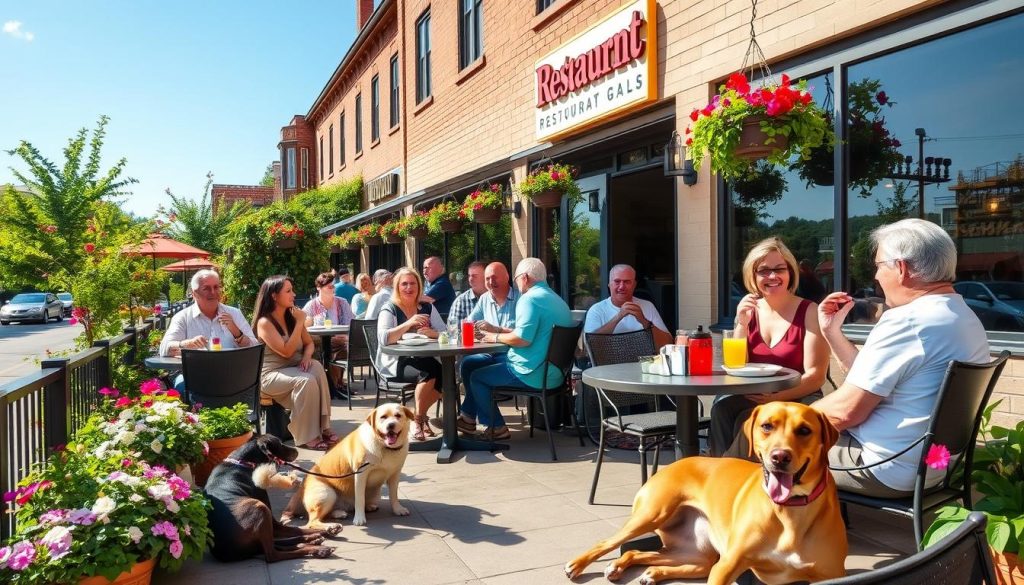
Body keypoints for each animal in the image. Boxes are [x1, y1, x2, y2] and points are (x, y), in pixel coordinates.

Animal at [201, 434, 337, 561]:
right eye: (280, 444)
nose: (296, 450)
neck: (243, 462)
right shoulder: (272, 518)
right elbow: (296, 529)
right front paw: (326, 530)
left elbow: (296, 529)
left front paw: (326, 530)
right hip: (260, 507)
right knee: (273, 554)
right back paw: (317, 548)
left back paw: (314, 541)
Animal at [280, 405, 411, 528]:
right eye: (383, 417)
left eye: (398, 415)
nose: (391, 425)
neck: (384, 447)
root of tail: (300, 490)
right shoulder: (360, 475)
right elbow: (359, 498)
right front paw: (359, 518)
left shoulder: (395, 474)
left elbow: (393, 495)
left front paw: (398, 509)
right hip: (327, 493)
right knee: (313, 522)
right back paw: (331, 526)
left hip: (374, 493)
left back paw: (346, 512)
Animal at [565, 403, 843, 585]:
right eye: (767, 426)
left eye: (804, 430)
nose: (780, 457)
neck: (790, 511)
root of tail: (678, 462)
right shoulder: (727, 566)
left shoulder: (832, 576)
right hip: (651, 515)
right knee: (608, 543)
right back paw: (579, 565)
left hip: (698, 554)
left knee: (642, 553)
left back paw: (650, 572)